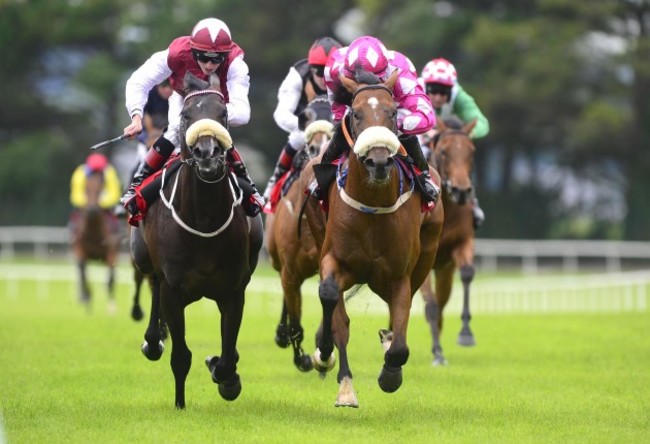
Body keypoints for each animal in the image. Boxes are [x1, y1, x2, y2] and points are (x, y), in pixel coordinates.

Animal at [70, 170, 121, 312]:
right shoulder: (79, 248)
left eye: (100, 189)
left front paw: (111, 306)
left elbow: (110, 276)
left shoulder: (111, 251)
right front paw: (87, 297)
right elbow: (82, 270)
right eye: (85, 188)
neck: (93, 233)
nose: (92, 210)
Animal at [129, 73, 264, 410]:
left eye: (223, 114)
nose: (207, 154)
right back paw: (153, 340)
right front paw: (180, 403)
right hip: (142, 258)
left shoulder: (233, 290)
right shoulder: (173, 291)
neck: (203, 218)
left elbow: (228, 354)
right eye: (186, 115)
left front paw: (225, 376)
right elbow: (181, 356)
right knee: (151, 283)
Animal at [264, 95, 334, 372]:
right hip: (278, 262)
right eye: (306, 116)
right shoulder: (290, 269)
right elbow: (295, 322)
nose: (318, 147)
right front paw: (302, 357)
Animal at [306, 68, 442, 406]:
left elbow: (401, 339)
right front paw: (325, 354)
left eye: (393, 113)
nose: (378, 161)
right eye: (356, 114)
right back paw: (342, 381)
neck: (372, 204)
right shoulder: (333, 260)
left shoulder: (399, 276)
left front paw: (391, 372)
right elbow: (330, 298)